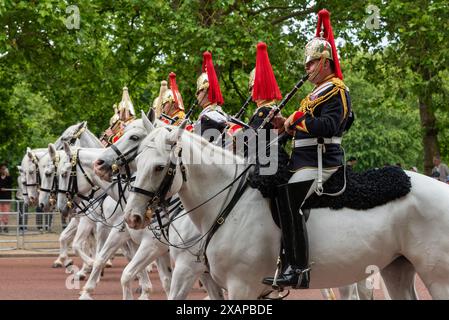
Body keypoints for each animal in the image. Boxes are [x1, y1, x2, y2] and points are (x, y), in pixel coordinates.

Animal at [123, 123, 448, 300]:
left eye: (159, 167)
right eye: (138, 162)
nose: (133, 217)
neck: (228, 202)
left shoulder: (240, 284)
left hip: (437, 276)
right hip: (396, 267)